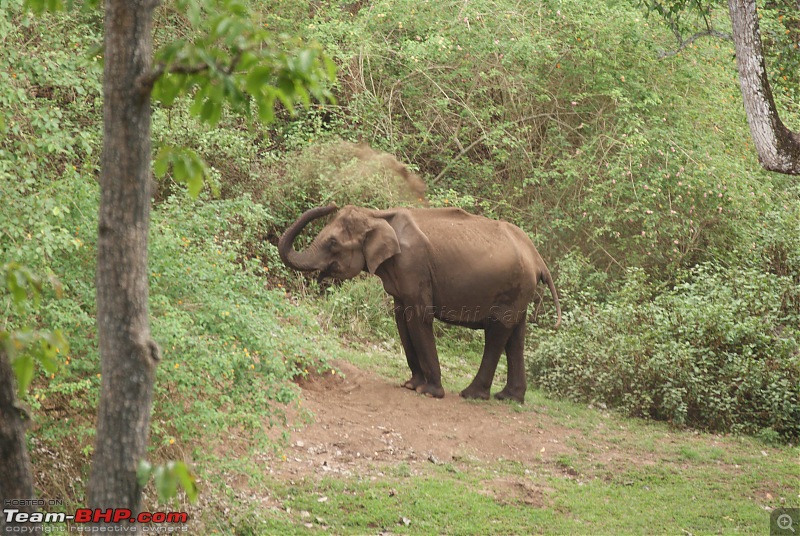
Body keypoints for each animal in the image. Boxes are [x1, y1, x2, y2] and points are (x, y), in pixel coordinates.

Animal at [278, 204, 560, 402]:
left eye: (333, 243)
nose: (332, 203)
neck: (378, 215)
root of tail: (538, 258)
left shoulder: (413, 266)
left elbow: (419, 317)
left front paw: (429, 391)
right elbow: (401, 318)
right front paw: (411, 385)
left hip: (513, 289)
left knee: (498, 331)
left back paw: (472, 394)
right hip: (520, 291)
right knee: (516, 334)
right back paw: (509, 397)